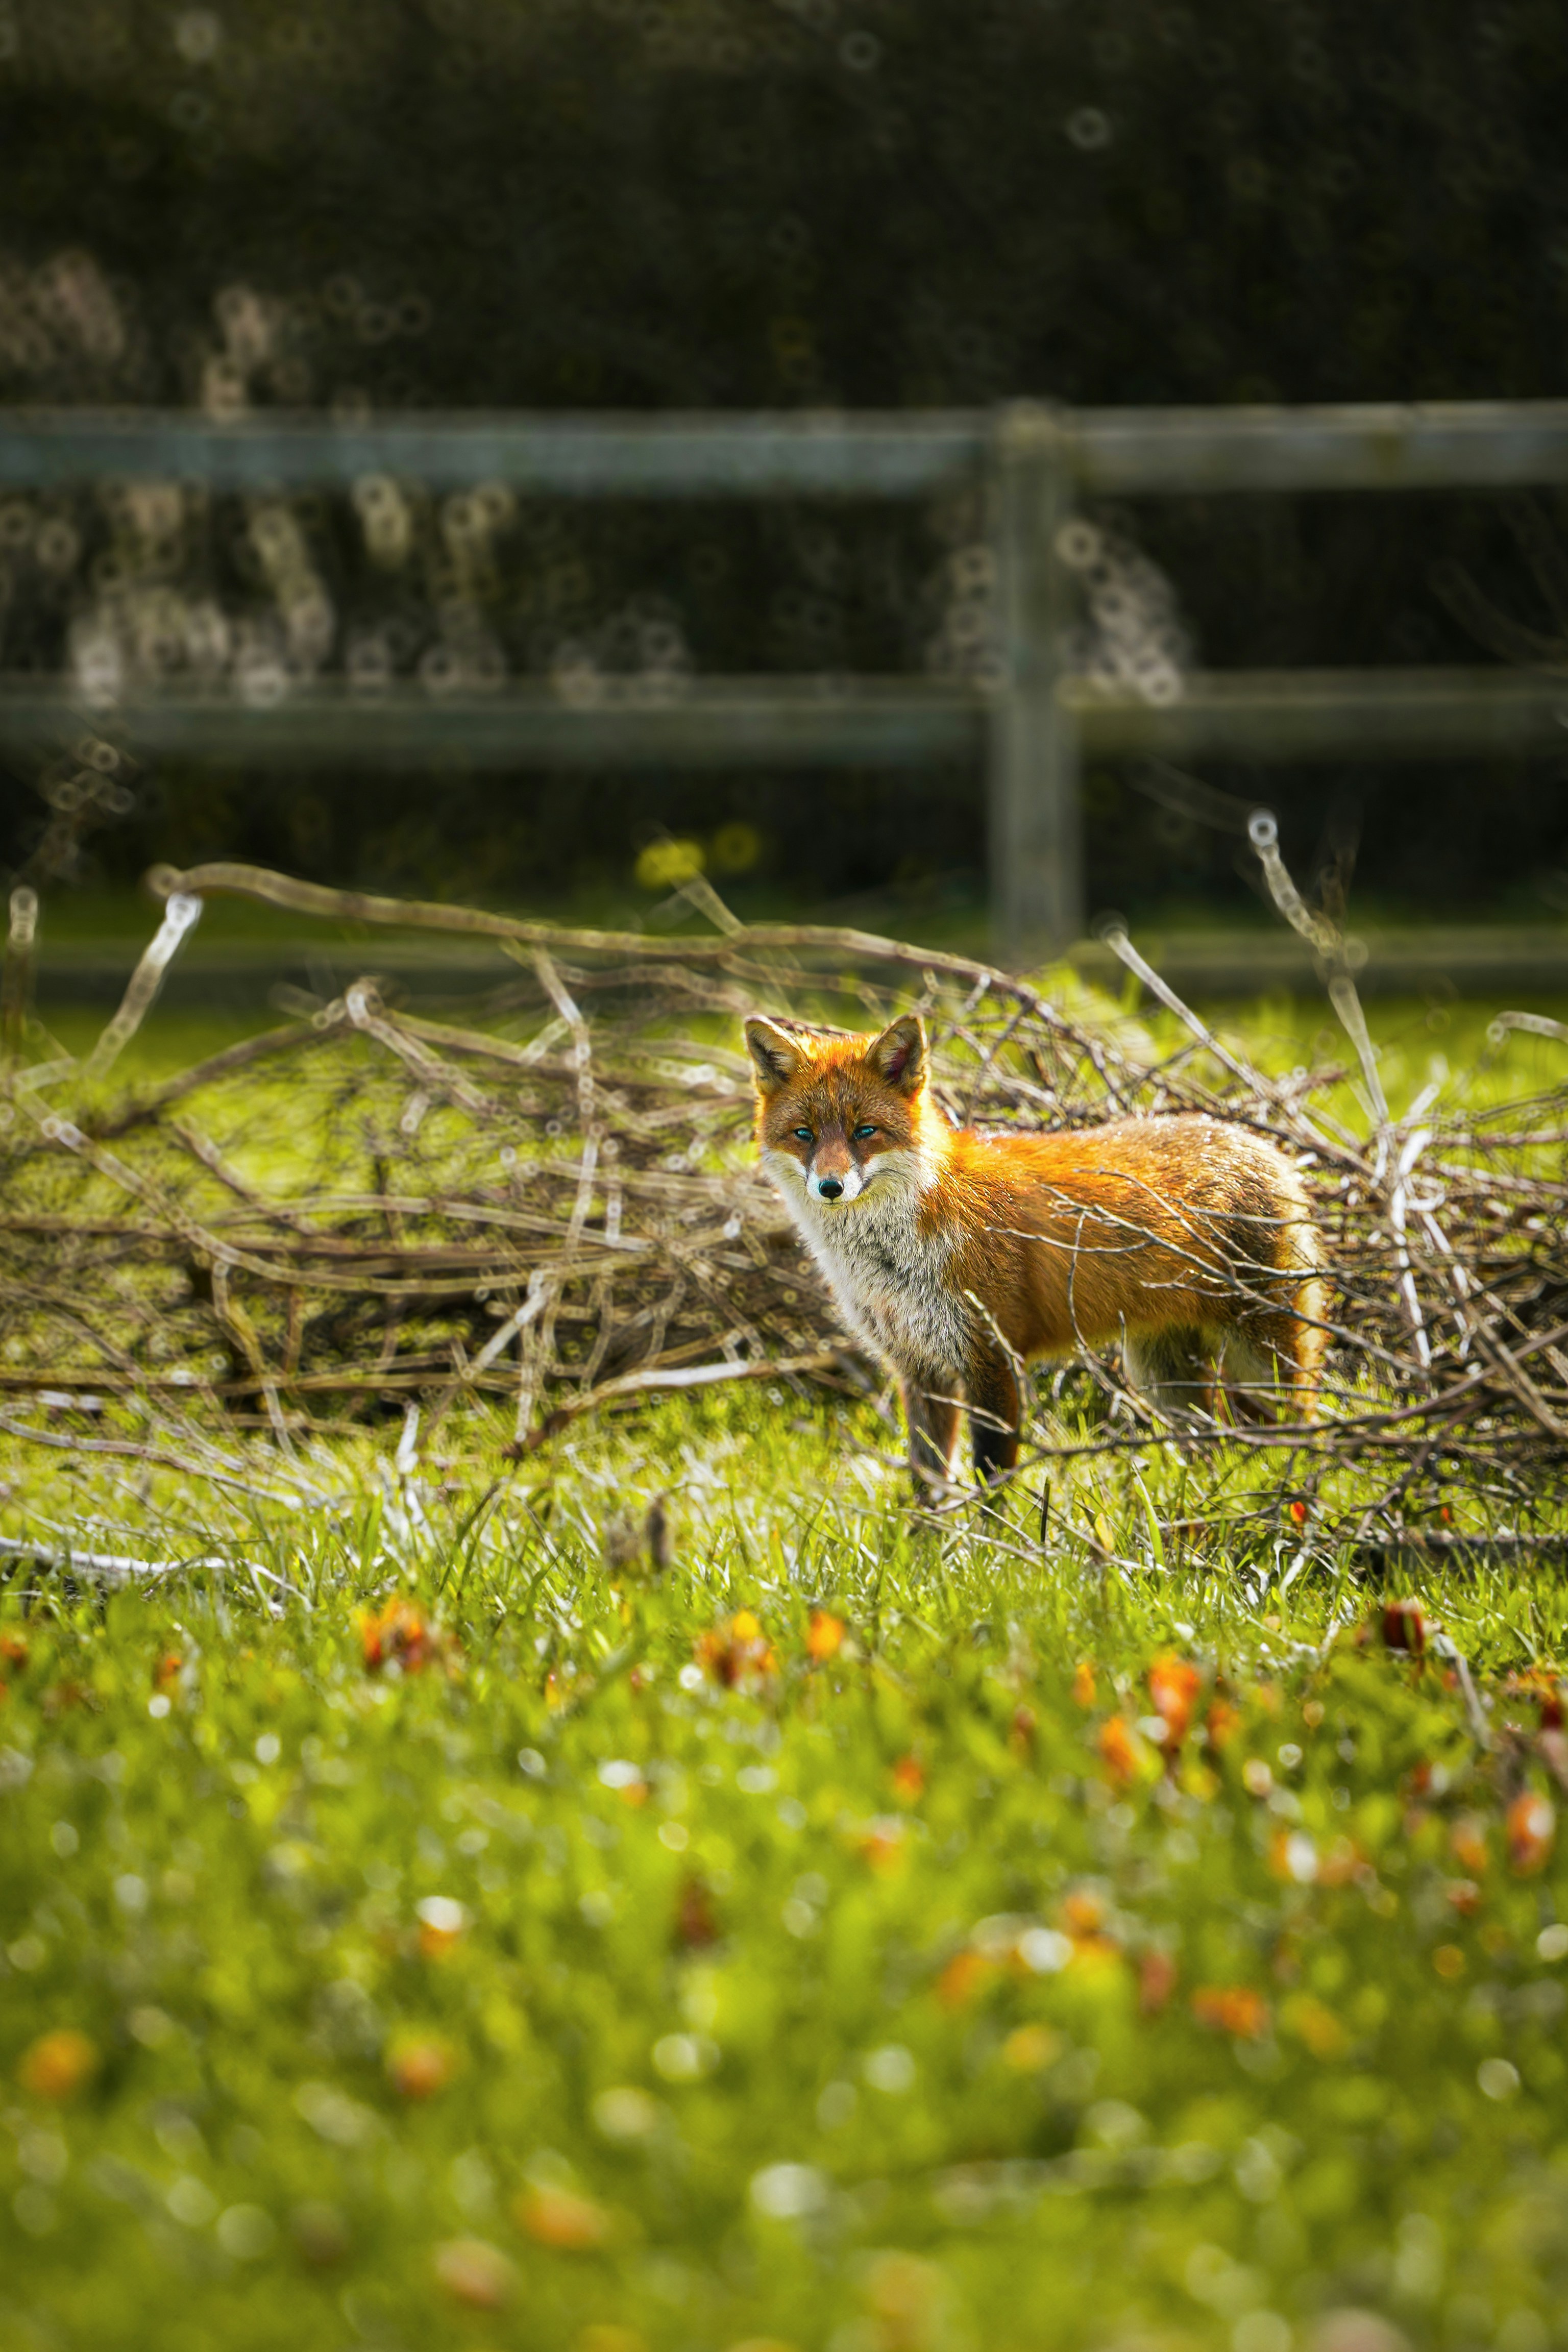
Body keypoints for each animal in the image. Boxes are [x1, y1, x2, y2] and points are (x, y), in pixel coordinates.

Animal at [745, 1010, 1328, 1492]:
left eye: (866, 1131)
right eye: (804, 1134)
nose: (831, 1187)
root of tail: (1270, 1147)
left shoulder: (993, 1357)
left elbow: (990, 1481)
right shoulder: (920, 1368)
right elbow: (927, 1489)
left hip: (1262, 1360)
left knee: (1309, 1432)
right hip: (1164, 1377)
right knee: (1213, 1448)